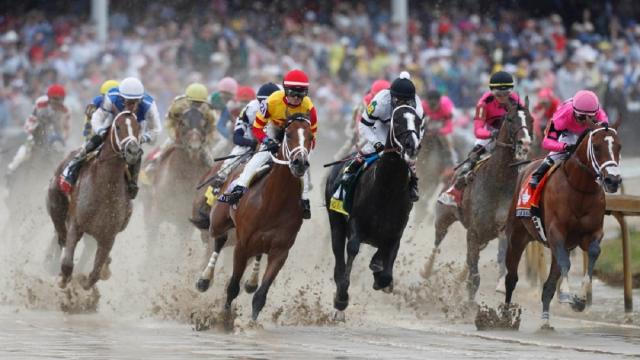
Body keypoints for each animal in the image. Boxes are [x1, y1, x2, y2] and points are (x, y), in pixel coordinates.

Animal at [46, 109, 142, 290]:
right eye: (118, 127)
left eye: (138, 127)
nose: (133, 151)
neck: (104, 189)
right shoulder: (76, 225)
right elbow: (67, 264)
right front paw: (63, 279)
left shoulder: (108, 237)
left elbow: (94, 275)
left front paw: (87, 281)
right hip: (56, 205)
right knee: (60, 234)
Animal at [196, 112, 314, 320]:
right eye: (288, 134)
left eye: (310, 137)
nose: (300, 163)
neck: (274, 202)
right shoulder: (242, 245)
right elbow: (232, 286)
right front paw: (224, 318)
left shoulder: (280, 251)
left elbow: (260, 295)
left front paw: (252, 322)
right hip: (218, 221)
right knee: (218, 239)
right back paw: (204, 279)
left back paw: (250, 281)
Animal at [324, 105, 424, 320]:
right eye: (397, 121)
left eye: (418, 123)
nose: (412, 147)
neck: (387, 190)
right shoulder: (356, 224)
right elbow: (353, 249)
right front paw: (341, 299)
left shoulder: (396, 232)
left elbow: (386, 270)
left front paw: (379, 273)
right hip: (336, 223)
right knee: (339, 261)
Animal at [430, 98, 536, 300]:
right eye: (510, 119)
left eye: (531, 119)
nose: (525, 143)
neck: (498, 181)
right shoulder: (474, 231)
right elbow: (474, 278)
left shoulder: (503, 229)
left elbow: (500, 257)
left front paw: (500, 283)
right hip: (444, 215)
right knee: (438, 240)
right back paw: (426, 270)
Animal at [504, 124, 620, 330]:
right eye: (597, 147)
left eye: (619, 147)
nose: (613, 181)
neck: (580, 189)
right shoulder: (556, 233)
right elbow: (566, 263)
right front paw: (566, 293)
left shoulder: (591, 233)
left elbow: (593, 253)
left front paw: (580, 299)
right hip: (517, 236)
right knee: (511, 277)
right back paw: (504, 316)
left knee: (548, 285)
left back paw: (545, 321)